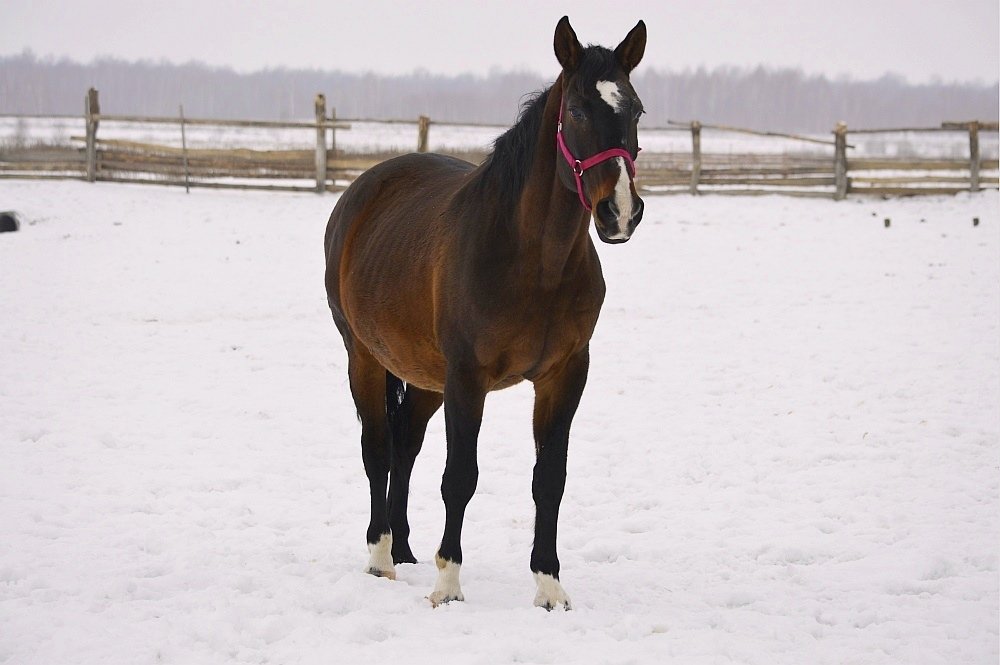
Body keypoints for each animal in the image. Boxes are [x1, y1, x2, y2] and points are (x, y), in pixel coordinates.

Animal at [324, 14, 644, 608]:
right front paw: (448, 584)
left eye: (635, 110)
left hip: (427, 375)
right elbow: (460, 477)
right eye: (577, 110)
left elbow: (550, 480)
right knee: (377, 449)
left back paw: (405, 547)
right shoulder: (468, 378)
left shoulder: (564, 375)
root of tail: (363, 191)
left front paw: (549, 586)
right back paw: (381, 557)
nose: (620, 212)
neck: (532, 261)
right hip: (365, 358)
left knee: (405, 446)